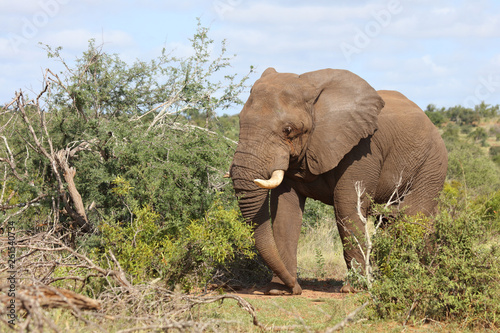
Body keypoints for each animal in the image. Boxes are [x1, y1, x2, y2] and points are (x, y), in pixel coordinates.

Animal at [230, 67, 450, 294]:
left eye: (288, 129)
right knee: (391, 220)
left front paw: (354, 289)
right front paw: (278, 290)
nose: (296, 288)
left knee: (413, 216)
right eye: (240, 121)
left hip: (431, 164)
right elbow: (284, 210)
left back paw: (413, 276)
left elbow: (346, 204)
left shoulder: (362, 148)